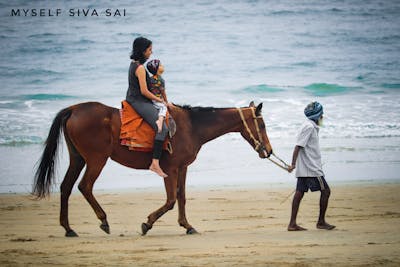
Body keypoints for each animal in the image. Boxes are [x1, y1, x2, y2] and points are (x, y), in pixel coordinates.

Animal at [32, 101, 274, 238]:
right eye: (262, 125)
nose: (269, 151)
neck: (192, 126)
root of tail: (74, 109)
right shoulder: (171, 169)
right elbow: (171, 200)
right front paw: (147, 223)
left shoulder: (182, 168)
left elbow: (181, 197)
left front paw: (187, 225)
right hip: (96, 160)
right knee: (85, 186)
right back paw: (103, 220)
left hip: (78, 159)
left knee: (66, 187)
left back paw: (68, 228)